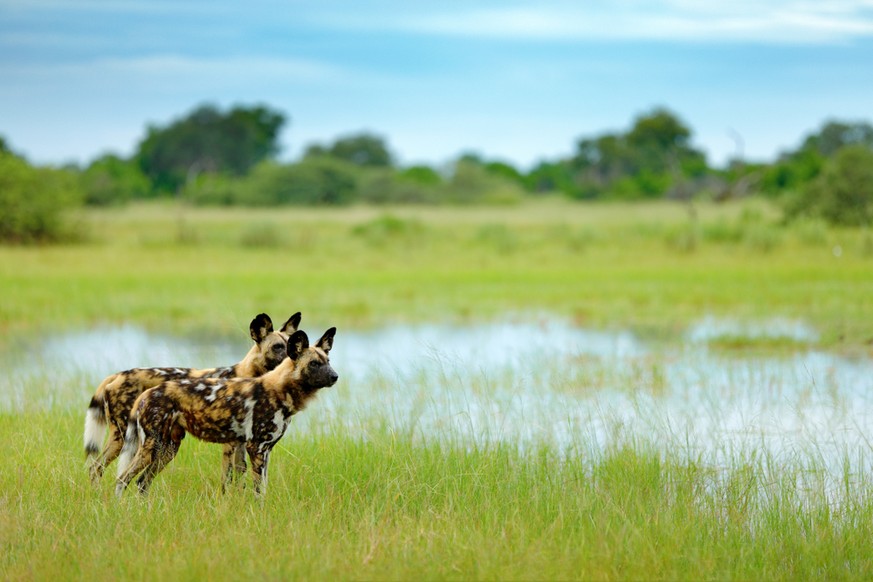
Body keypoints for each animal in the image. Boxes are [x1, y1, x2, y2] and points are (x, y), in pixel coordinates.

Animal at [85, 314, 302, 488]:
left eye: (292, 344)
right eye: (277, 347)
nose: (292, 359)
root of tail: (117, 375)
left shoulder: (241, 443)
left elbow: (240, 476)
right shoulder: (230, 444)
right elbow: (227, 480)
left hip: (167, 446)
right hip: (126, 438)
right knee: (97, 468)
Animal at [114, 326, 336, 500]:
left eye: (328, 361)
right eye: (314, 364)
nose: (335, 376)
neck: (280, 390)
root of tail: (147, 393)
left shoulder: (266, 450)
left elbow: (262, 487)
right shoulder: (256, 448)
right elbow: (258, 492)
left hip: (167, 449)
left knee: (142, 482)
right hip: (150, 447)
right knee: (122, 479)